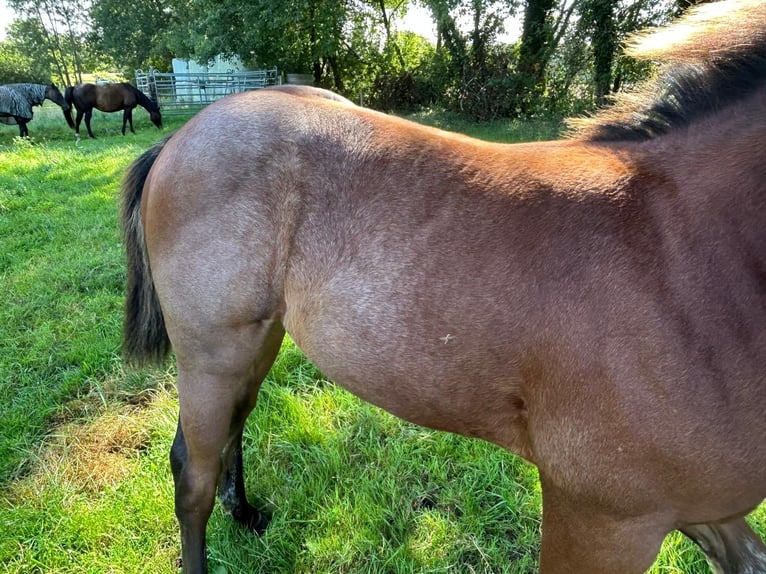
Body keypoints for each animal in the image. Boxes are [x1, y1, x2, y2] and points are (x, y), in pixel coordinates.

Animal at [121, 1, 766, 572]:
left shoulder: (706, 510)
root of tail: (186, 134)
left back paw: (248, 513)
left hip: (256, 341)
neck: (680, 253)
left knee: (229, 429)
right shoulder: (601, 518)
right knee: (193, 478)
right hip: (212, 351)